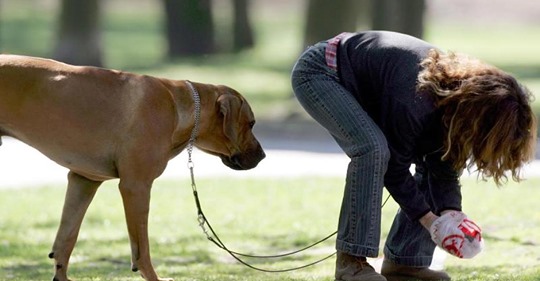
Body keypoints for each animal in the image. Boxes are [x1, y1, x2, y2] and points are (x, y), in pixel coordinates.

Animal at [0, 53, 266, 278]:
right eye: (251, 123)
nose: (263, 156)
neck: (180, 107)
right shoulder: (136, 187)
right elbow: (142, 250)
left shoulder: (83, 180)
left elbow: (66, 240)